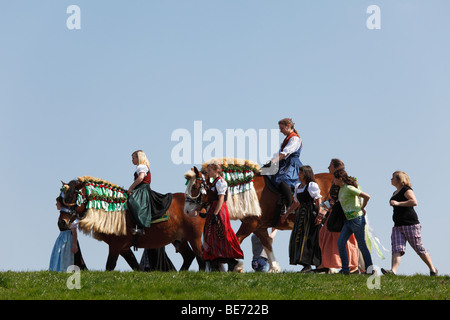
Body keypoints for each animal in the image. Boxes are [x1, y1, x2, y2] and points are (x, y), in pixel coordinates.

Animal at [59, 176, 206, 272]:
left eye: (73, 199)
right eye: (61, 199)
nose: (62, 223)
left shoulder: (116, 245)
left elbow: (110, 266)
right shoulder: (123, 248)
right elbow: (135, 266)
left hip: (194, 236)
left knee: (200, 257)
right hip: (180, 239)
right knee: (189, 256)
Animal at [184, 158, 334, 272]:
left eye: (195, 187)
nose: (187, 211)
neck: (248, 189)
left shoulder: (250, 223)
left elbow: (237, 239)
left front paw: (236, 265)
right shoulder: (258, 227)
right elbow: (267, 244)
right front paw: (274, 268)